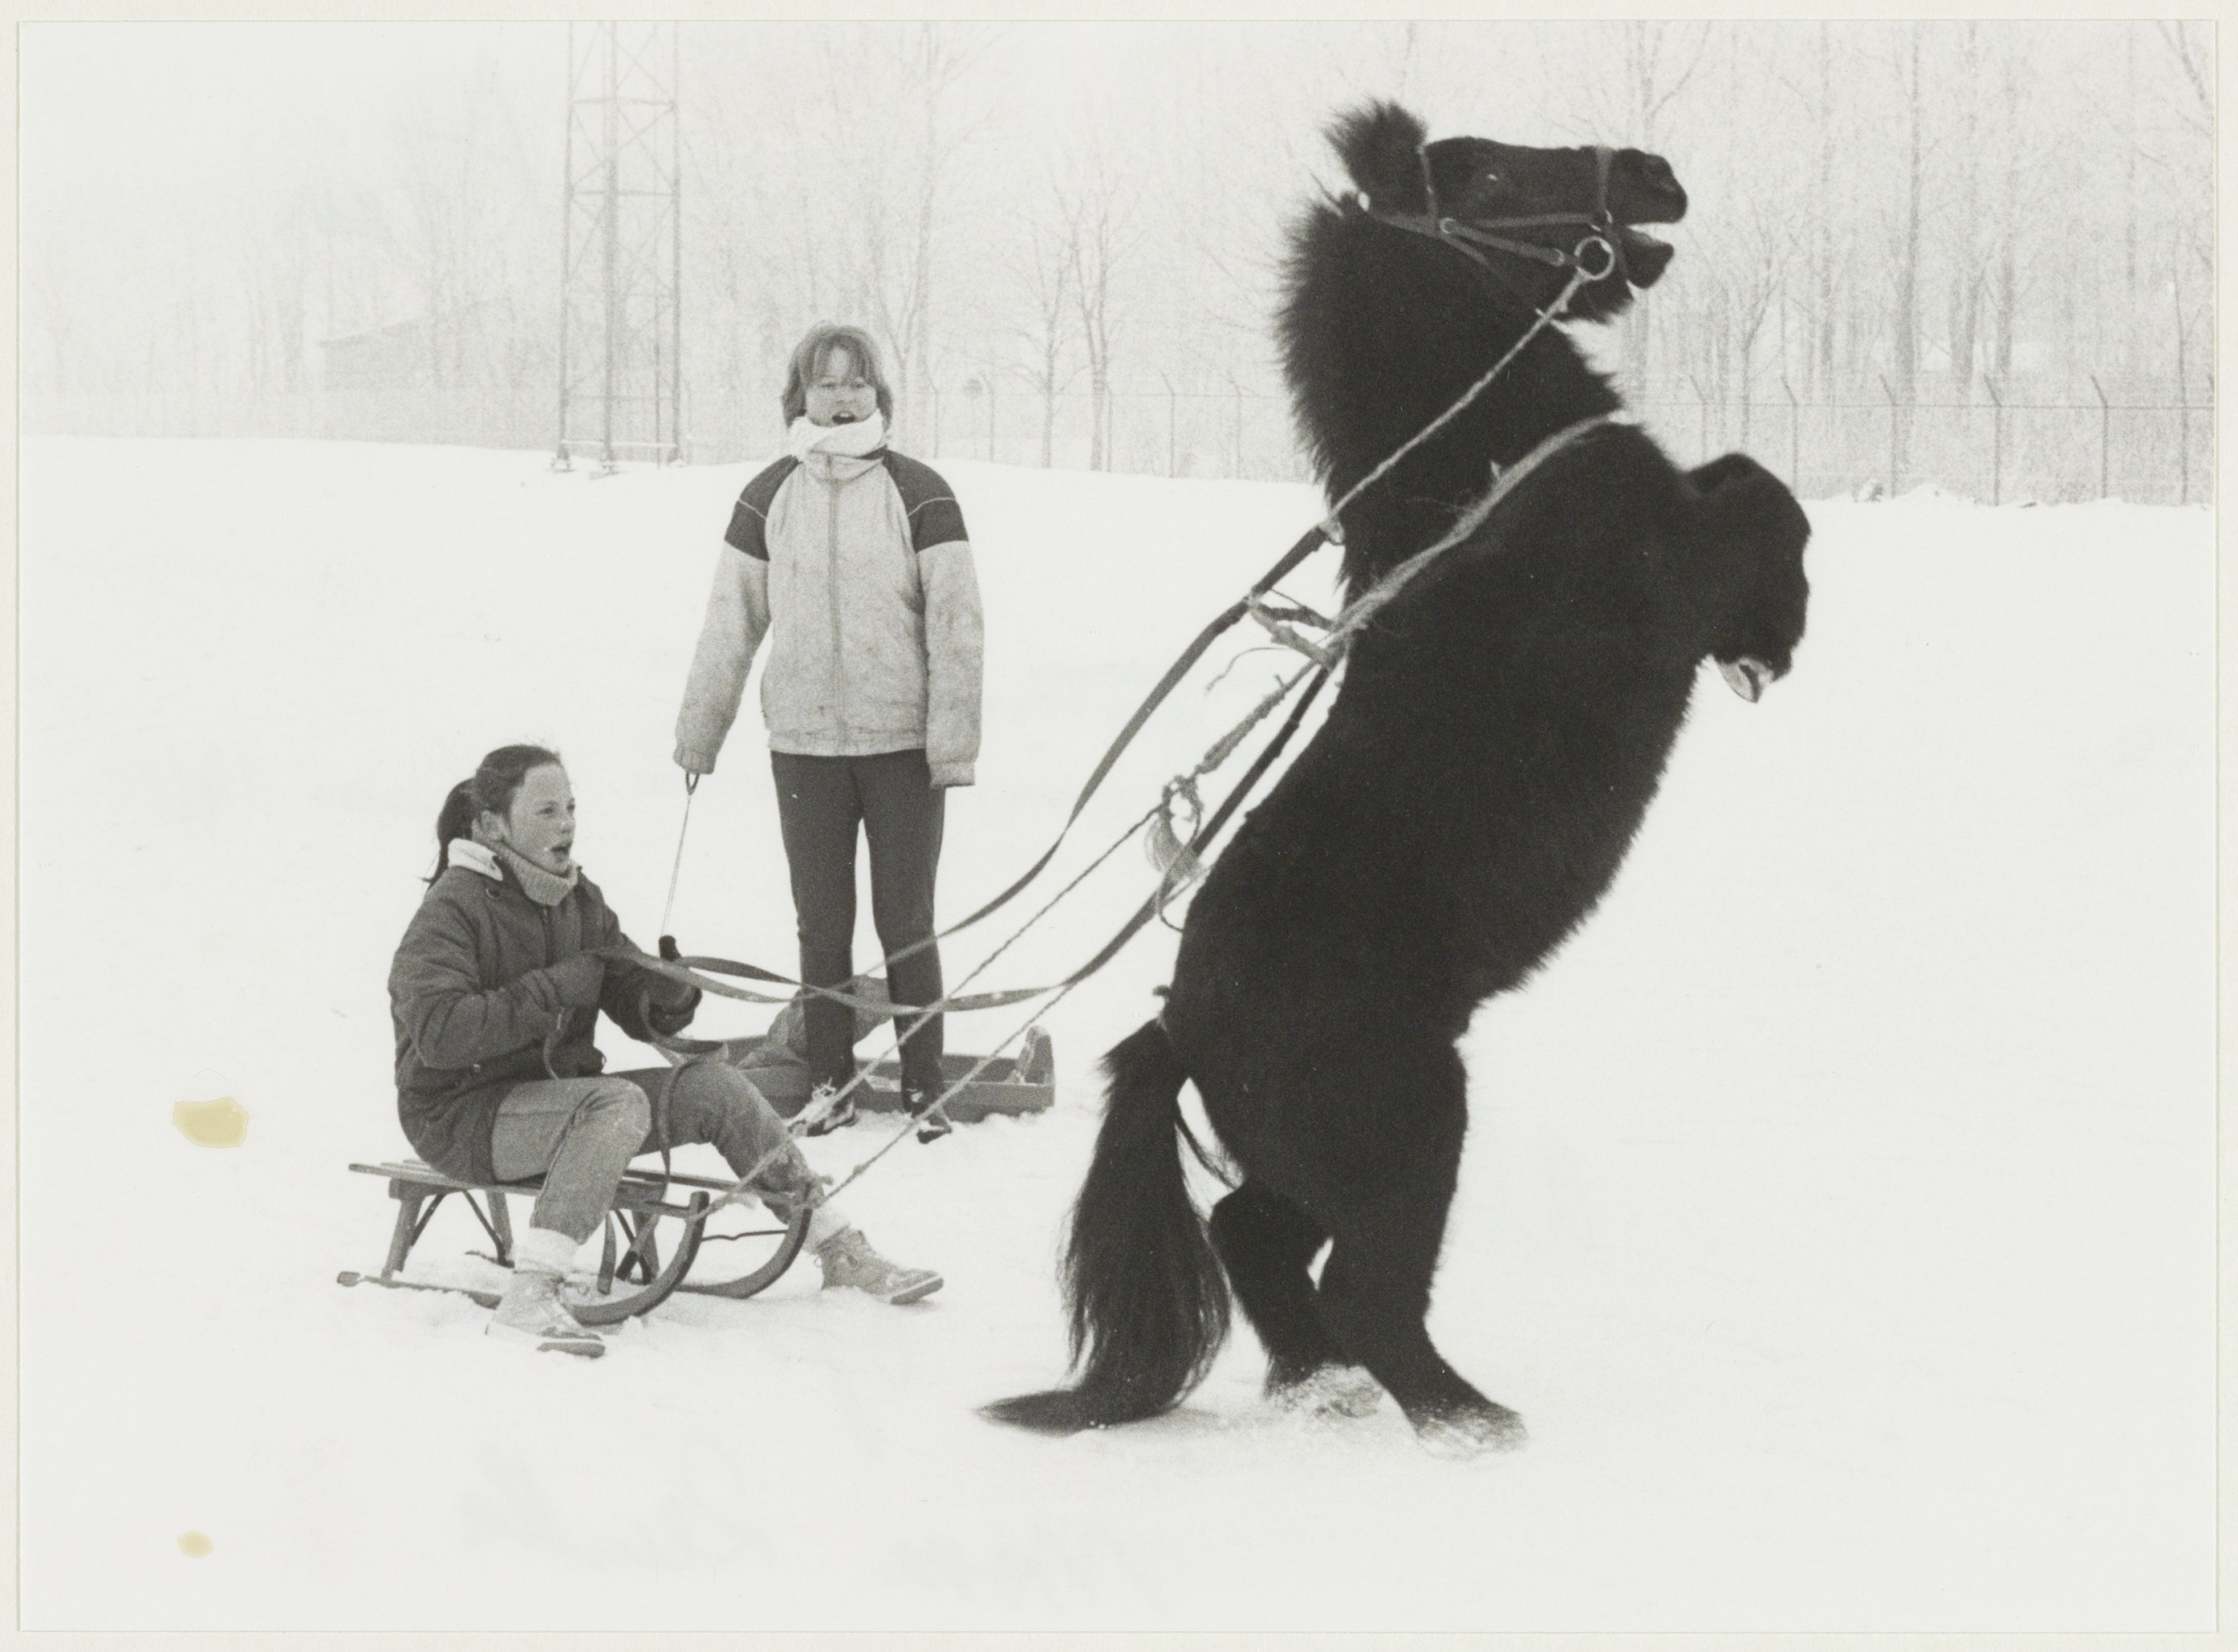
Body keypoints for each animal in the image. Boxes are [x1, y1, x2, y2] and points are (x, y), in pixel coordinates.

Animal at [989, 99, 1808, 1450]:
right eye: (1487, 175)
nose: (1653, 173)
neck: (1494, 484)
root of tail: (1179, 1020)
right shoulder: (1675, 559)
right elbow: (1765, 496)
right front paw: (1773, 639)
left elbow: (1747, 473)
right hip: (1411, 1123)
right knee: (1366, 1290)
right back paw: (1468, 1418)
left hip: (1317, 1156)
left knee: (1254, 1236)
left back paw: (1320, 1387)